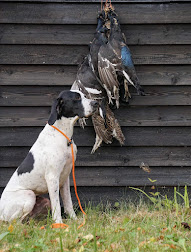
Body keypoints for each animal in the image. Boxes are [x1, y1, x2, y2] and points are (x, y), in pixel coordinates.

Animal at [0, 90, 97, 222]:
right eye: (77, 98)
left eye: (85, 96)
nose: (96, 103)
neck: (63, 135)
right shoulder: (52, 178)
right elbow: (57, 205)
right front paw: (59, 224)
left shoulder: (65, 177)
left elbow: (68, 203)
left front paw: (75, 221)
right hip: (29, 195)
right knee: (13, 221)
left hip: (44, 201)